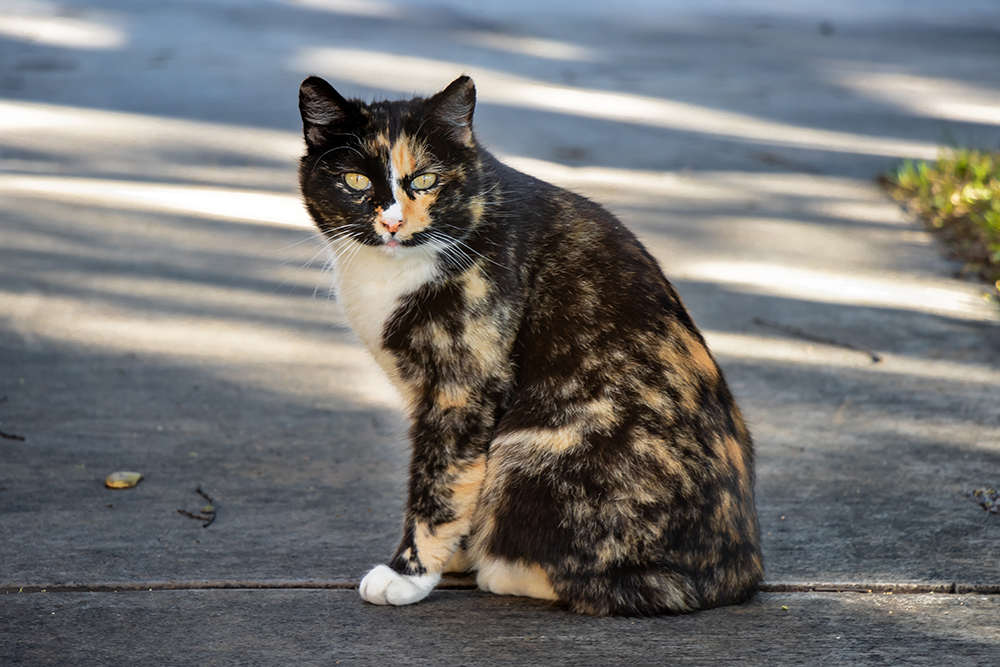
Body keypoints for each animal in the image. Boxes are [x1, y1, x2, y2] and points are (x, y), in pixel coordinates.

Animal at [296, 74, 764, 616]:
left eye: (427, 180)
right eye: (355, 181)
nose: (393, 223)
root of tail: (743, 572)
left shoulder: (463, 388)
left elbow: (439, 481)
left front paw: (409, 573)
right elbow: (458, 479)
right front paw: (449, 554)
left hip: (533, 448)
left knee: (632, 587)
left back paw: (499, 568)